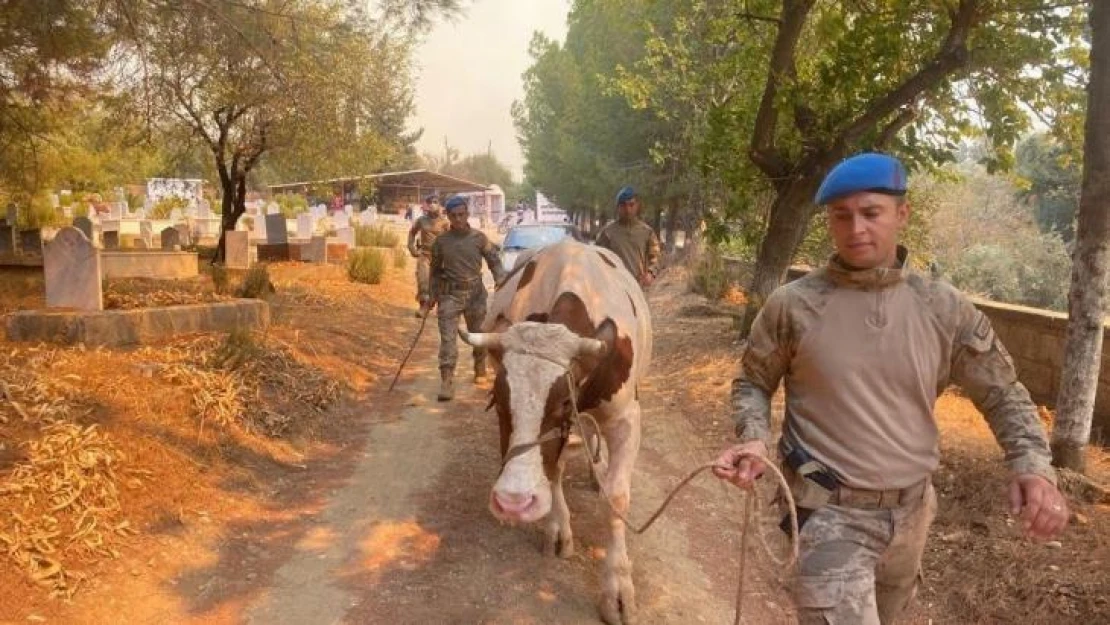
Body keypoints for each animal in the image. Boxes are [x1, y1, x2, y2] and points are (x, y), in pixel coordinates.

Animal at [459, 237, 648, 621]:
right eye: (498, 401)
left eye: (562, 402)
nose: (513, 503)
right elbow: (554, 470)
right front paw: (558, 529)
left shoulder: (625, 417)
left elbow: (617, 499)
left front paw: (618, 589)